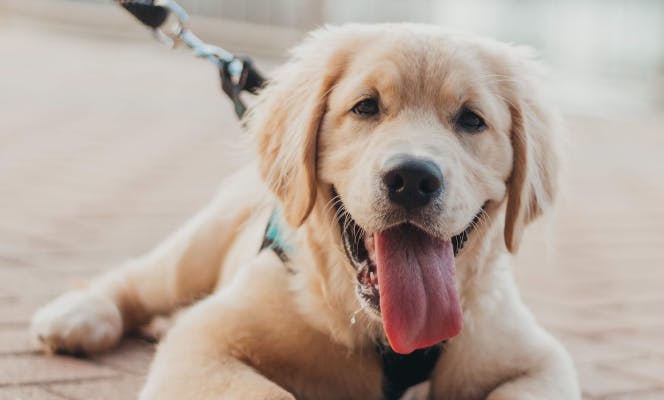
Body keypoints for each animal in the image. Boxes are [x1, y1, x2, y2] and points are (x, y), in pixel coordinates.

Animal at [31, 23, 580, 398]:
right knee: (140, 280)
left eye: (471, 120)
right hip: (197, 250)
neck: (381, 332)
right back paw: (78, 316)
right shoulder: (205, 338)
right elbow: (262, 390)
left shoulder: (540, 360)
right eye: (366, 106)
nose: (413, 179)